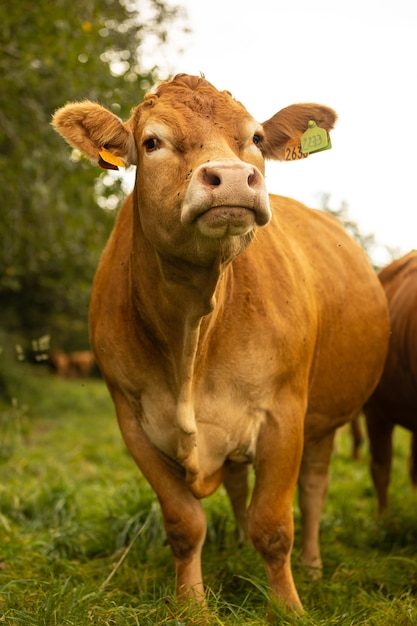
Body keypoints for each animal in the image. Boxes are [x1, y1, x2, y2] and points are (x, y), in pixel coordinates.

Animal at [53, 73, 388, 608]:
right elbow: (185, 523)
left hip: (325, 418)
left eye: (255, 138)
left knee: (314, 487)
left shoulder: (284, 416)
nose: (232, 178)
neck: (192, 332)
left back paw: (312, 566)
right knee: (234, 483)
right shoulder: (133, 422)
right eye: (152, 142)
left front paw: (289, 608)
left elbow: (275, 524)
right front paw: (193, 605)